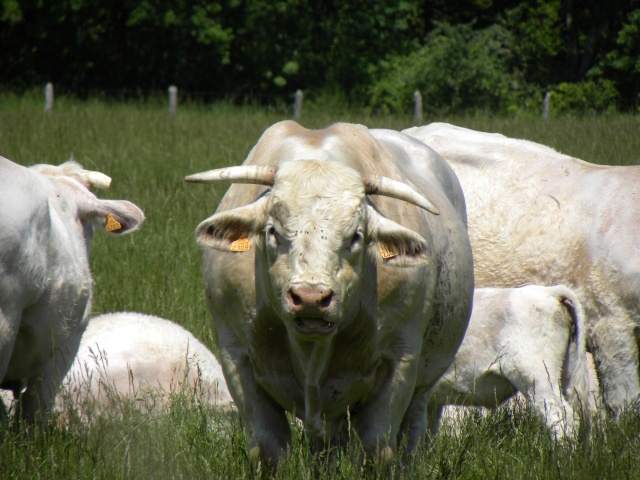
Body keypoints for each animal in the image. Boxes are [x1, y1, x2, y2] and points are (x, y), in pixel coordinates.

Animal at [185, 122, 476, 466]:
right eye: (272, 231)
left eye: (356, 236)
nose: (310, 298)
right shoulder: (236, 354)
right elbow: (268, 446)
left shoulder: (400, 359)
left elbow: (376, 446)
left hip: (425, 385)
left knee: (415, 430)